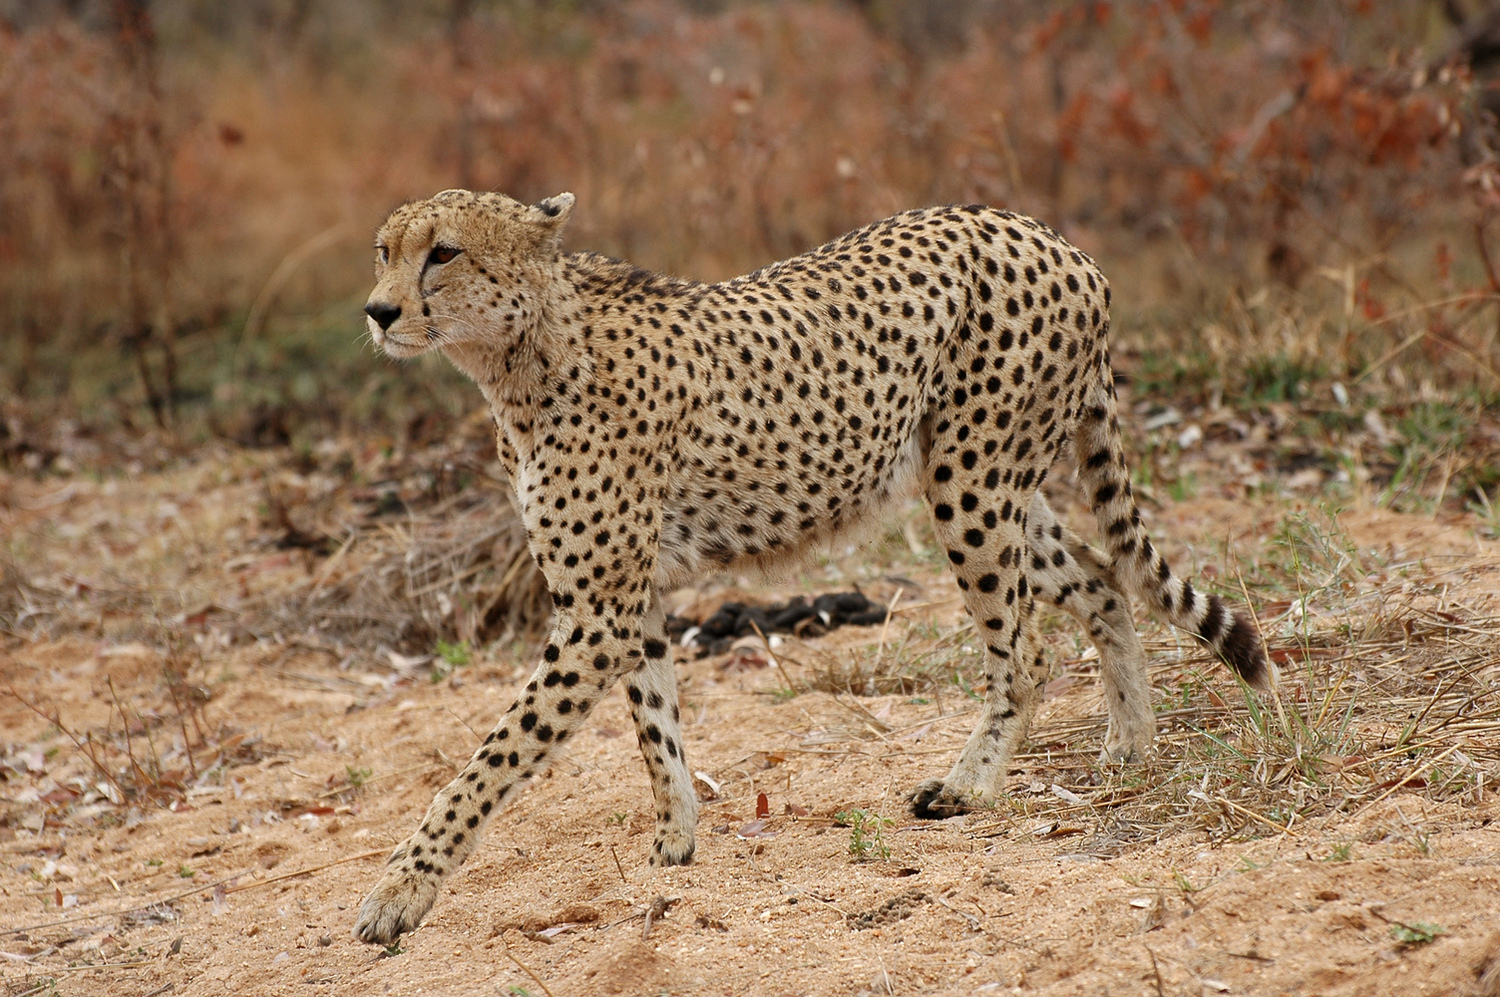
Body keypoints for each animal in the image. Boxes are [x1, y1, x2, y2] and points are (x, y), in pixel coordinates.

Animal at [351, 189, 1270, 945]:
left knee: (1027, 650)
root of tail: (1051, 236)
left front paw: (399, 892)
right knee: (1102, 578)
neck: (520, 355)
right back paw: (1130, 741)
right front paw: (676, 838)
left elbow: (486, 763)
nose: (378, 311)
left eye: (444, 251)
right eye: (383, 249)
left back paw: (969, 786)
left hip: (971, 483)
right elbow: (655, 724)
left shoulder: (597, 611)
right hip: (988, 481)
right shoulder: (626, 600)